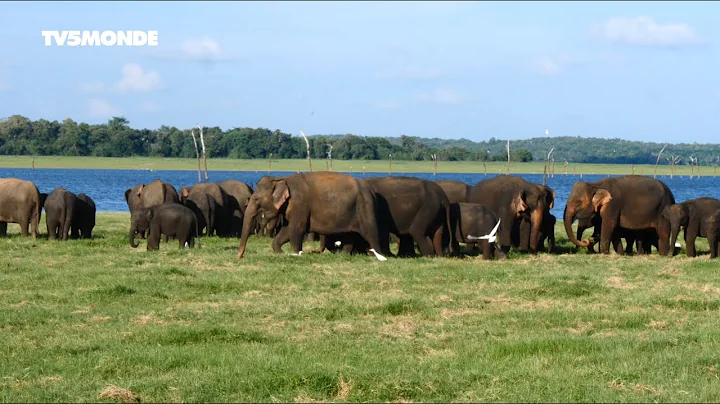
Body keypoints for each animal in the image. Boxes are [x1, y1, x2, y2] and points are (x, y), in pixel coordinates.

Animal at [236, 171, 386, 258]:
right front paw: (281, 252)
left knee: (371, 232)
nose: (239, 256)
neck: (281, 178)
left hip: (365, 206)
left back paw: (379, 256)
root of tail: (371, 190)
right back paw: (343, 256)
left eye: (256, 199)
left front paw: (296, 254)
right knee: (350, 234)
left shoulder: (300, 204)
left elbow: (296, 229)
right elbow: (287, 229)